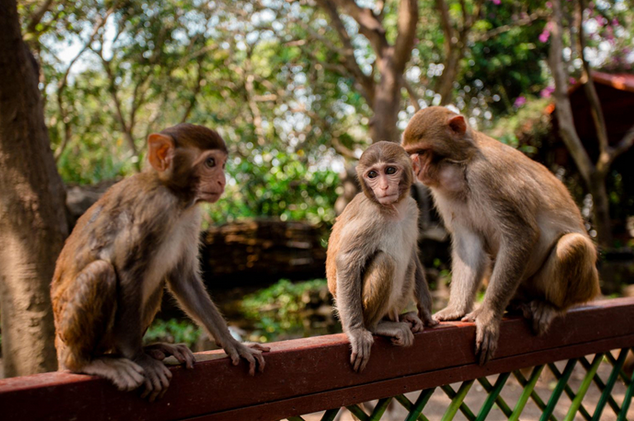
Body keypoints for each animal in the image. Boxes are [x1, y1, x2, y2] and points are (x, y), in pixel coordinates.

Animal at [50, 124, 266, 400]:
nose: (222, 181)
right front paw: (139, 359)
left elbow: (183, 278)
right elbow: (128, 273)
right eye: (210, 163)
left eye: (223, 164)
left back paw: (151, 348)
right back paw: (87, 361)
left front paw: (233, 343)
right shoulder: (152, 209)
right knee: (101, 272)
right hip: (66, 330)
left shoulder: (191, 216)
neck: (176, 198)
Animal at [326, 140, 434, 370]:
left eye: (390, 171)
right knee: (384, 261)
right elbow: (347, 261)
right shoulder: (369, 217)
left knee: (409, 264)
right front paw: (356, 331)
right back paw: (377, 326)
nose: (383, 187)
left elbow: (413, 253)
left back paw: (405, 316)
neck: (393, 209)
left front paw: (426, 311)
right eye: (372, 174)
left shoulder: (412, 208)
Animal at [400, 106, 596, 364]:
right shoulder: (445, 194)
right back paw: (518, 304)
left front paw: (488, 314)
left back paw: (551, 306)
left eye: (420, 152)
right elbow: (469, 245)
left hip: (584, 287)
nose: (414, 166)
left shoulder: (487, 176)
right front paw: (456, 309)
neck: (463, 168)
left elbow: (521, 235)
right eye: (411, 153)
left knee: (573, 245)